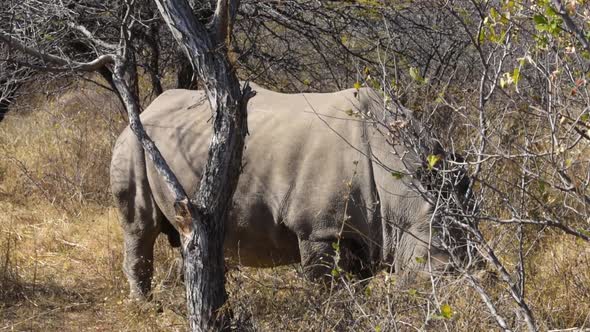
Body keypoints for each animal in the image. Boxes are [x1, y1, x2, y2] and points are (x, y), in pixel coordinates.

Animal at [110, 83, 454, 298]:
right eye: (435, 275)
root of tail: (146, 110)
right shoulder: (320, 229)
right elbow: (330, 289)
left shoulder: (365, 230)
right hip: (134, 141)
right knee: (140, 227)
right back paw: (146, 307)